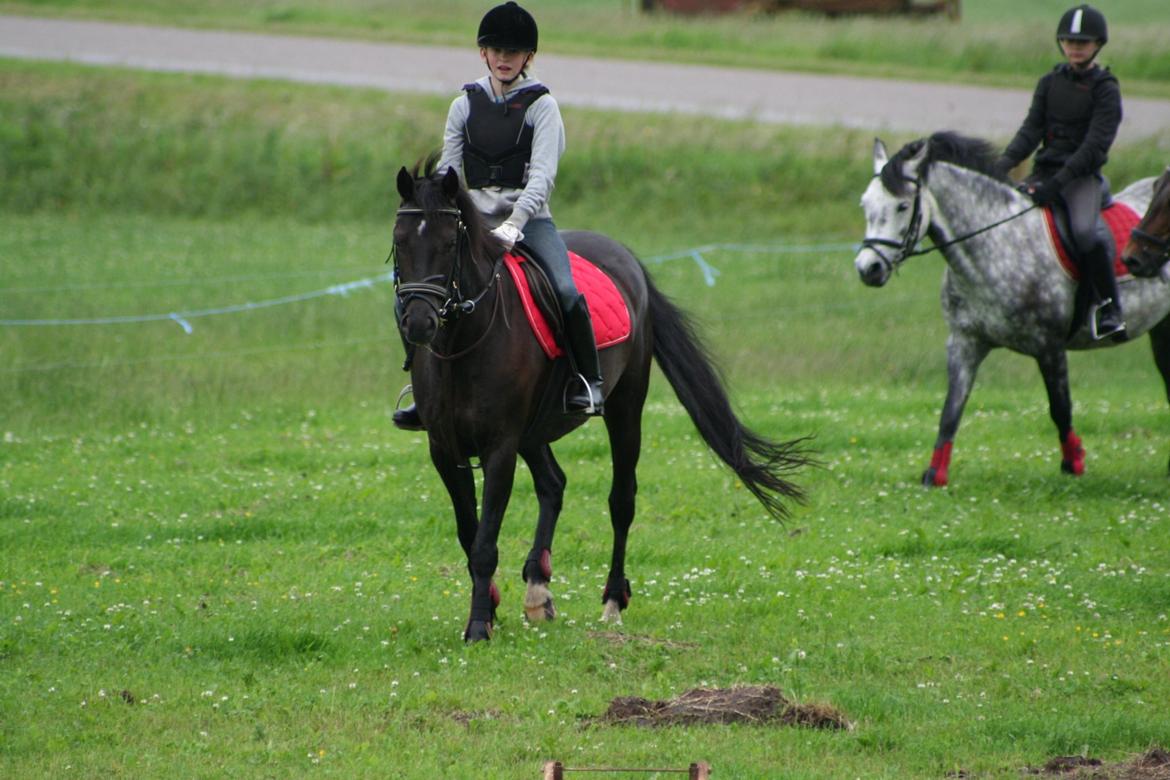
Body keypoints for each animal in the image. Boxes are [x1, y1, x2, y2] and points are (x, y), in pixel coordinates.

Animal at [393, 156, 814, 640]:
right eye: (399, 242)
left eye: (449, 244)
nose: (419, 323)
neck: (465, 343)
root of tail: (625, 256)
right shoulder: (444, 448)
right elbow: (470, 532)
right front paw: (491, 607)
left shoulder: (500, 447)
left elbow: (484, 541)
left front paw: (479, 625)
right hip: (534, 431)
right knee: (554, 484)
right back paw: (538, 590)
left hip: (624, 408)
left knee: (621, 500)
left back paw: (612, 599)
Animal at [851, 133, 1170, 484]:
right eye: (866, 205)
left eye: (902, 206)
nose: (868, 269)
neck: (998, 245)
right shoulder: (965, 343)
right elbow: (951, 410)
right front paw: (935, 475)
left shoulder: (1049, 347)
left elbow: (1060, 408)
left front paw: (1074, 464)